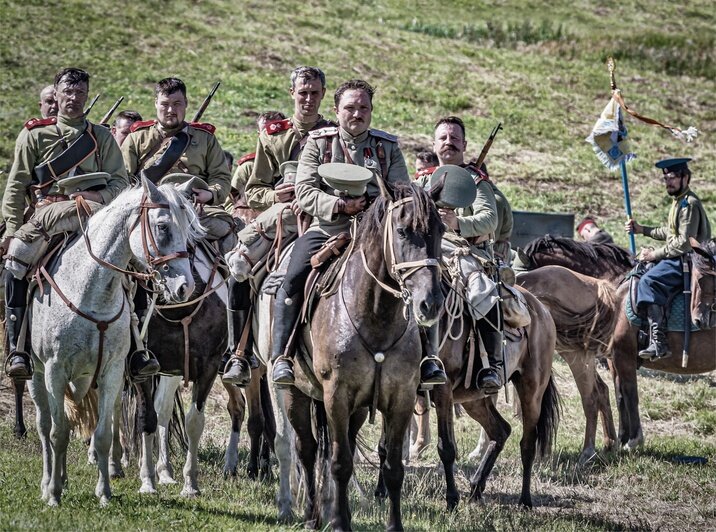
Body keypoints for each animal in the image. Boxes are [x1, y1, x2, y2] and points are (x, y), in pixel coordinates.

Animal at [27, 180, 200, 508]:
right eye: (162, 227)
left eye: (188, 227)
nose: (186, 287)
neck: (89, 288)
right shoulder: (55, 370)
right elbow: (57, 433)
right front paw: (53, 494)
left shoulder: (112, 372)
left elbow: (104, 434)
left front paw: (104, 492)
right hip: (36, 374)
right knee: (44, 427)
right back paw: (47, 482)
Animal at [284, 184, 442, 532]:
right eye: (402, 230)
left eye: (440, 230)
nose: (430, 303)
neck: (375, 314)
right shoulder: (336, 396)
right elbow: (340, 463)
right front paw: (341, 523)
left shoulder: (401, 399)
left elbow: (393, 467)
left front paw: (393, 526)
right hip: (295, 393)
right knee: (307, 450)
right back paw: (313, 516)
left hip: (356, 409)